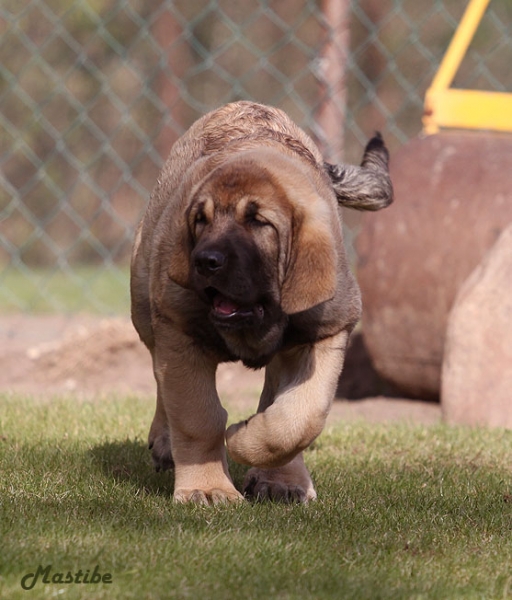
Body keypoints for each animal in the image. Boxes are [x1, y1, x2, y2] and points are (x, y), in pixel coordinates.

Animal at [129, 101, 392, 504]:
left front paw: (247, 442)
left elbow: (298, 418)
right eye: (200, 220)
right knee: (160, 375)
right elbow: (197, 416)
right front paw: (207, 488)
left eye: (257, 222)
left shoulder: (325, 334)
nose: (204, 261)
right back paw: (164, 442)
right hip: (145, 306)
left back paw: (283, 479)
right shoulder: (179, 333)